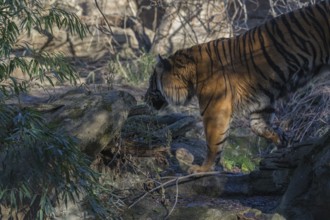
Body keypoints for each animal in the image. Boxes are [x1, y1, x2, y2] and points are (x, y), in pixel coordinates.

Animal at [144, 1, 330, 174]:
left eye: (151, 81)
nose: (144, 99)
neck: (191, 75)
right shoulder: (262, 100)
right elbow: (258, 126)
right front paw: (282, 140)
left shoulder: (215, 108)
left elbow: (213, 142)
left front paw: (203, 169)